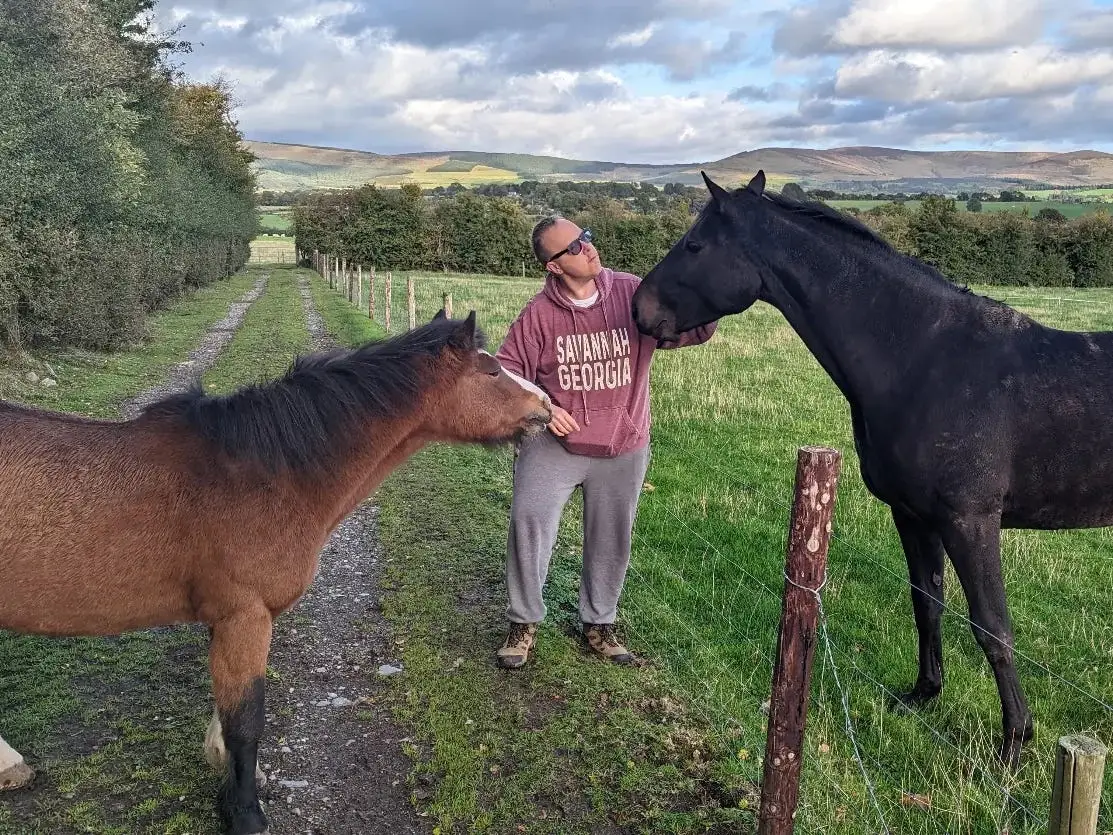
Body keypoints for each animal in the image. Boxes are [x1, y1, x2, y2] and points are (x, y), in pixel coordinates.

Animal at [0, 309, 551, 834]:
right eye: (492, 370)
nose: (547, 406)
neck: (263, 473)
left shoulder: (231, 621)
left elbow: (229, 714)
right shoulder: (244, 616)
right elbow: (246, 721)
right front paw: (244, 813)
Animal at [631, 170, 1113, 769]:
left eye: (696, 245)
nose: (638, 308)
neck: (925, 358)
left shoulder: (971, 520)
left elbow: (992, 628)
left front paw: (1013, 745)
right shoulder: (914, 515)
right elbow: (927, 602)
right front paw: (924, 694)